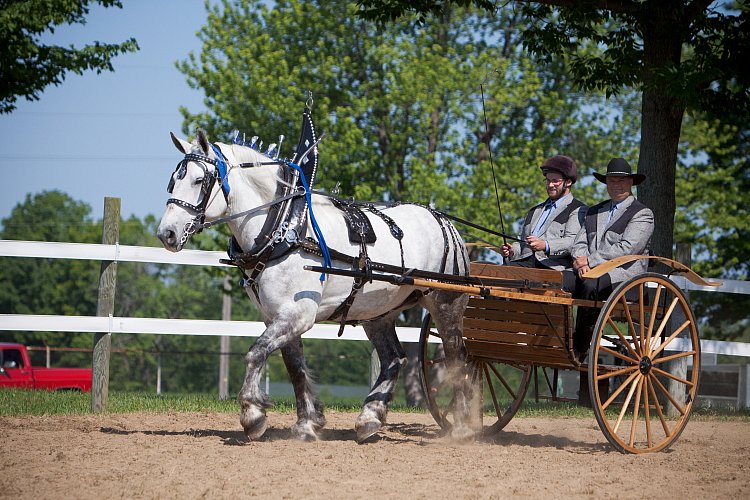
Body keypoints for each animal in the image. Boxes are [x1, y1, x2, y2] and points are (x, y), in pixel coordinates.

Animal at [157, 130, 476, 442]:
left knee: (457, 359)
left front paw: (252, 415)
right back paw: (369, 418)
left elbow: (255, 353)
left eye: (200, 180)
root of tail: (445, 222)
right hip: (377, 312)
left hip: (445, 304)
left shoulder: (298, 314)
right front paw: (307, 423)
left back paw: (462, 426)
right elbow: (295, 368)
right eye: (174, 180)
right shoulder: (276, 316)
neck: (285, 228)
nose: (166, 234)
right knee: (393, 358)